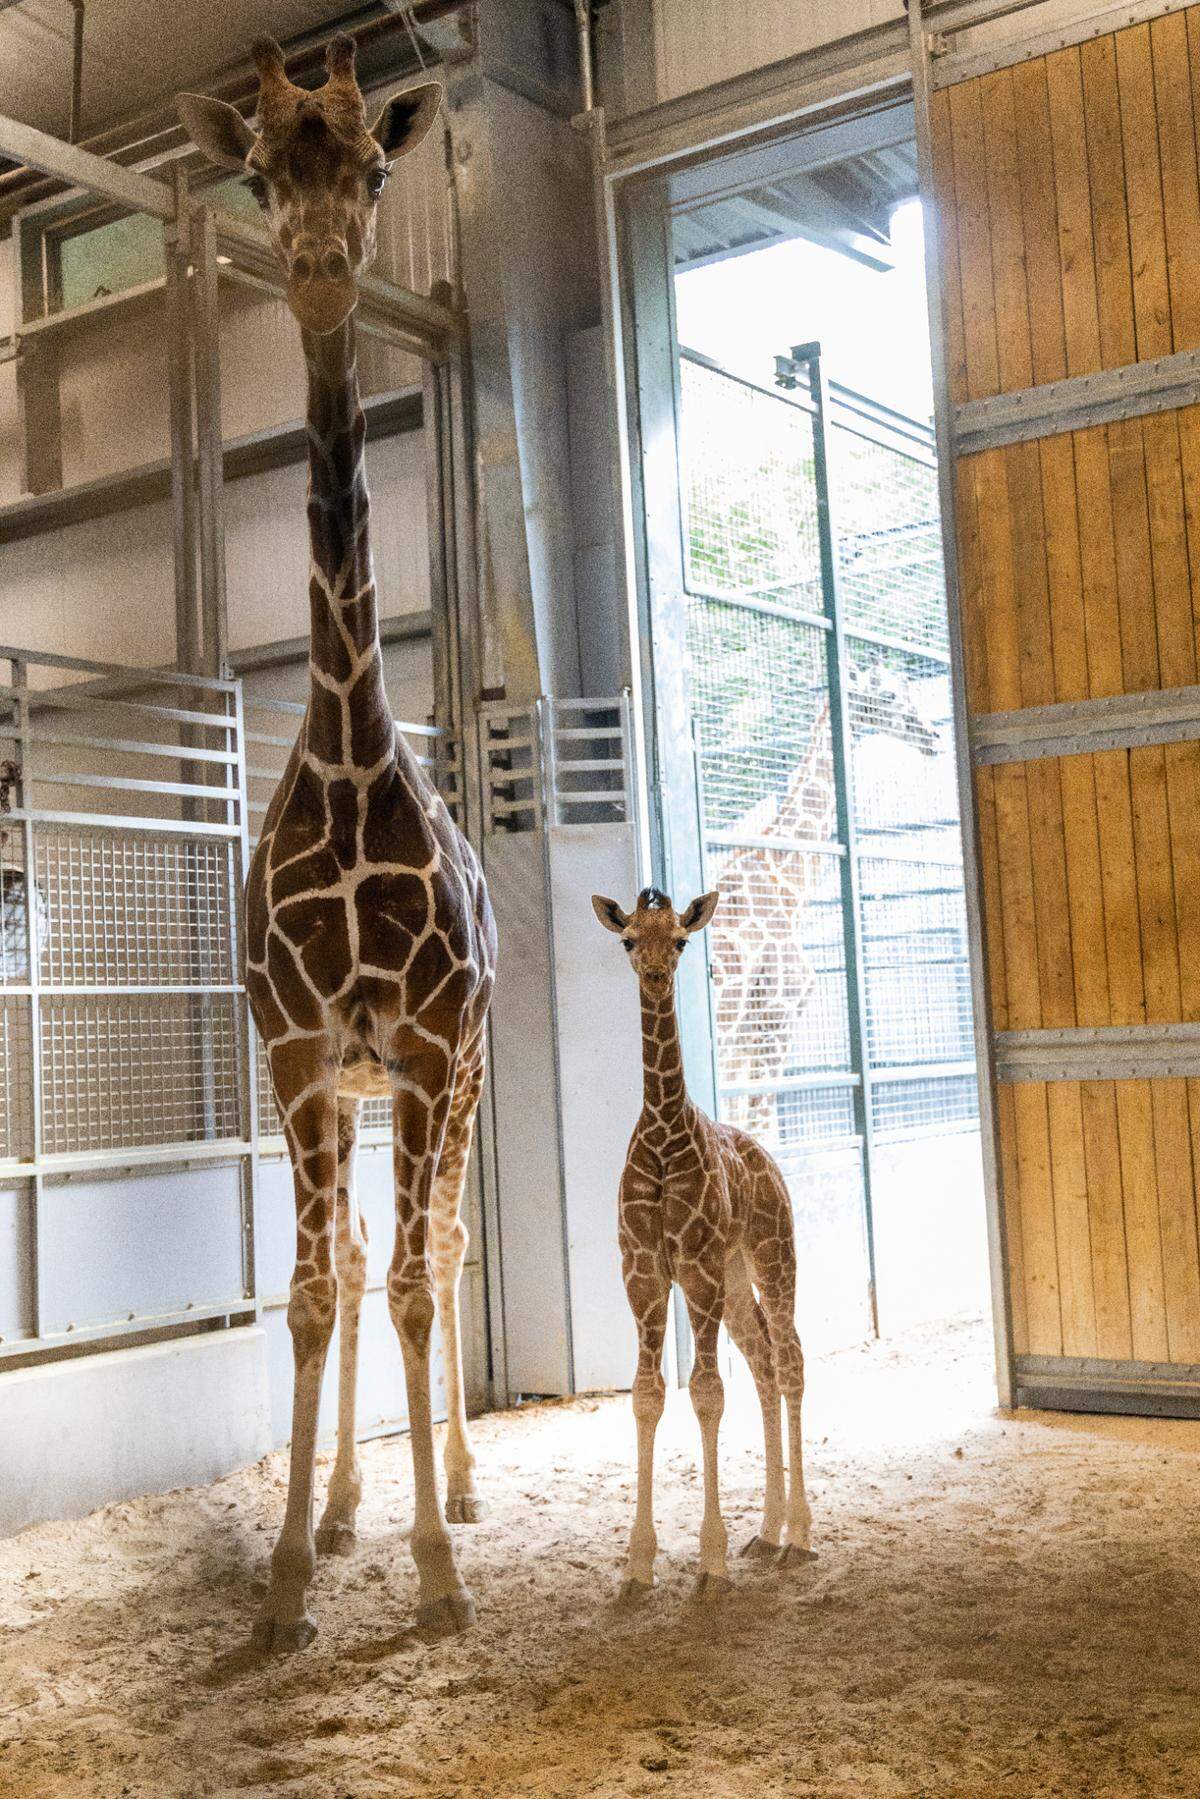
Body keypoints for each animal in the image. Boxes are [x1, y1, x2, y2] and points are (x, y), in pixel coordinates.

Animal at [592, 885, 815, 1601]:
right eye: (629, 938)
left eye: (682, 939)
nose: (656, 975)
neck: (664, 1132)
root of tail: (767, 1159)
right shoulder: (642, 1273)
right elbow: (648, 1395)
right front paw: (638, 1565)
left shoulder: (696, 1270)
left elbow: (708, 1393)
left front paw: (710, 1561)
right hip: (739, 1279)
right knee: (765, 1364)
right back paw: (768, 1531)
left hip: (772, 1258)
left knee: (791, 1360)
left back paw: (800, 1534)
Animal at [709, 661, 939, 1140]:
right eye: (888, 696)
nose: (933, 736)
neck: (788, 883)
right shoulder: (775, 1022)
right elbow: (763, 1130)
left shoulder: (740, 1046)